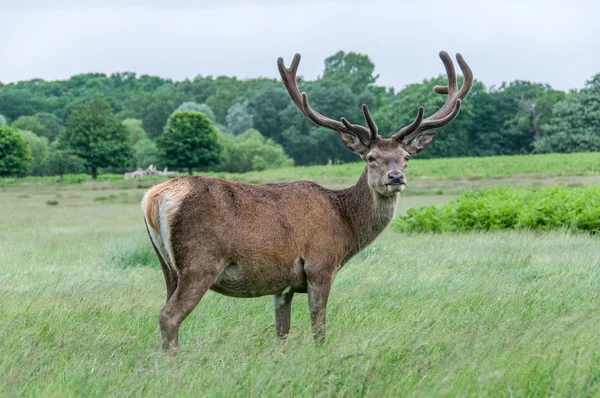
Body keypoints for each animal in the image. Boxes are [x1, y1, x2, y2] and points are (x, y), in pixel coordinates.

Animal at [142, 51, 474, 350]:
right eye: (370, 158)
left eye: (406, 157)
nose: (395, 177)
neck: (346, 224)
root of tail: (153, 198)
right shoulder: (320, 265)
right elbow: (319, 328)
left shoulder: (283, 284)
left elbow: (282, 332)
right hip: (200, 261)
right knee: (169, 316)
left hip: (168, 266)